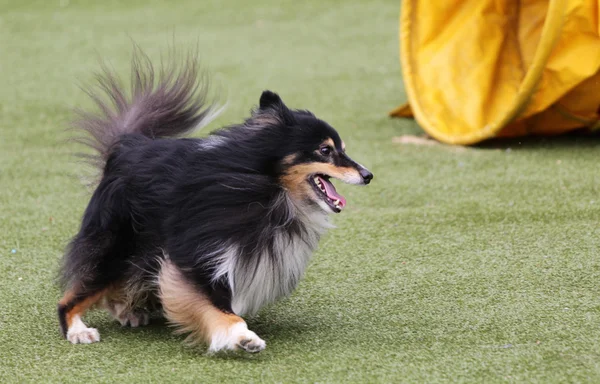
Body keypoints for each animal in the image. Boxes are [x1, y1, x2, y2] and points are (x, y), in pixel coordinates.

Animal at [58, 49, 372, 352]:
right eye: (325, 150)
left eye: (342, 149)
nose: (368, 175)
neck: (265, 189)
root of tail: (125, 147)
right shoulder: (197, 257)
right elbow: (218, 309)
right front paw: (243, 338)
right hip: (118, 246)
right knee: (70, 297)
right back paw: (78, 331)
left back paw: (128, 311)